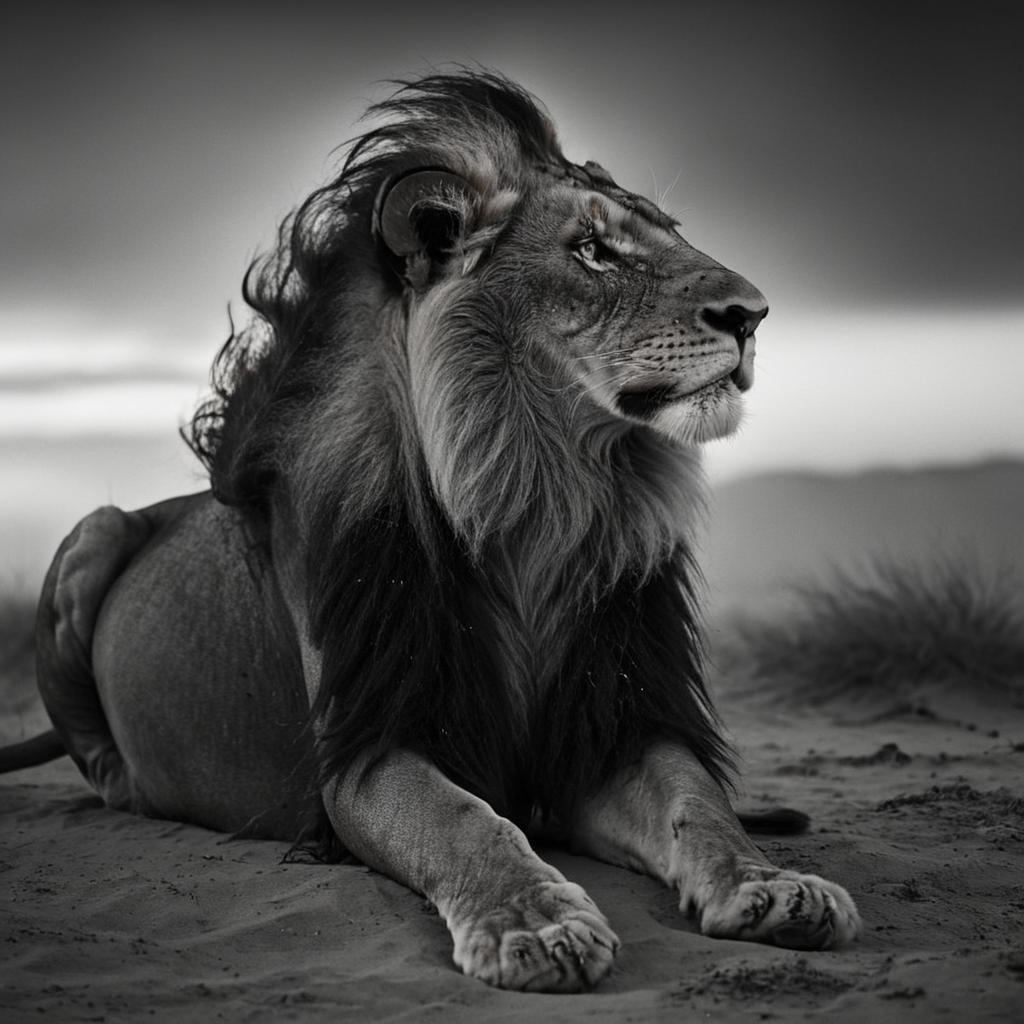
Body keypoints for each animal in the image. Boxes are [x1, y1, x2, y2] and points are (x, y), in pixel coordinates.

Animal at [4, 71, 859, 991]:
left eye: (671, 234)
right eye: (593, 251)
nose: (754, 314)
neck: (545, 503)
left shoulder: (609, 726)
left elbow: (699, 803)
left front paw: (776, 885)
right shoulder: (369, 748)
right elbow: (463, 821)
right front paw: (533, 924)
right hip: (92, 533)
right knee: (101, 762)